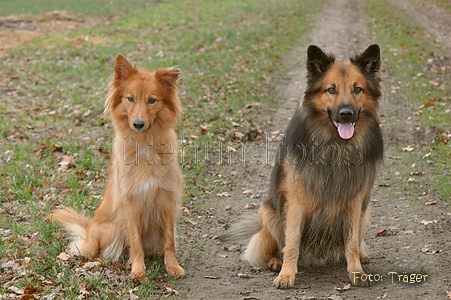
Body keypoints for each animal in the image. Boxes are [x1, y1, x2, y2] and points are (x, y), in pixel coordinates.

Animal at [224, 44, 384, 288]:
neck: (335, 146)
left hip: (365, 215)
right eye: (331, 90)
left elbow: (351, 243)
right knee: (271, 247)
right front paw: (286, 275)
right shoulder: (296, 202)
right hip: (268, 213)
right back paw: (275, 262)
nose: (346, 114)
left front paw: (356, 271)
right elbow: (291, 243)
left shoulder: (354, 202)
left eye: (357, 89)